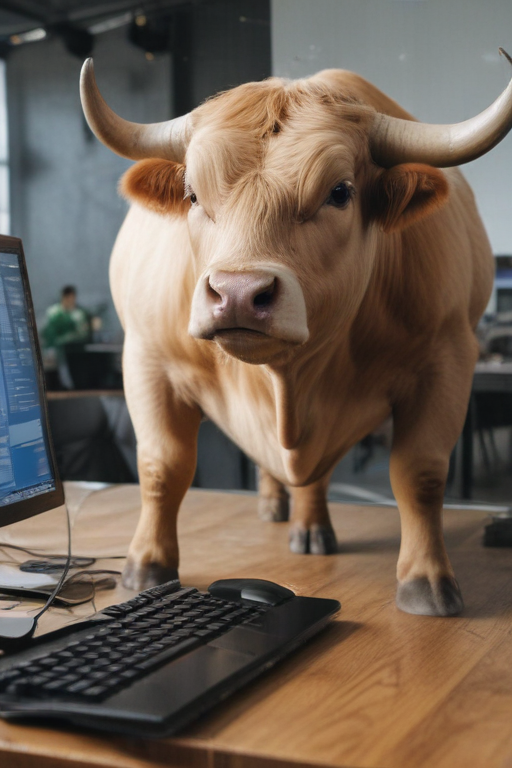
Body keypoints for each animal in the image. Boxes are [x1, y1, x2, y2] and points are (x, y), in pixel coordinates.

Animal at [80, 54, 512, 617]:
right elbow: (162, 466)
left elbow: (421, 473)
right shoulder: (147, 360)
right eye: (192, 194)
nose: (238, 292)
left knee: (318, 472)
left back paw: (310, 528)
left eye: (340, 193)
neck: (290, 381)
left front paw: (427, 581)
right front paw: (145, 566)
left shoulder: (447, 359)